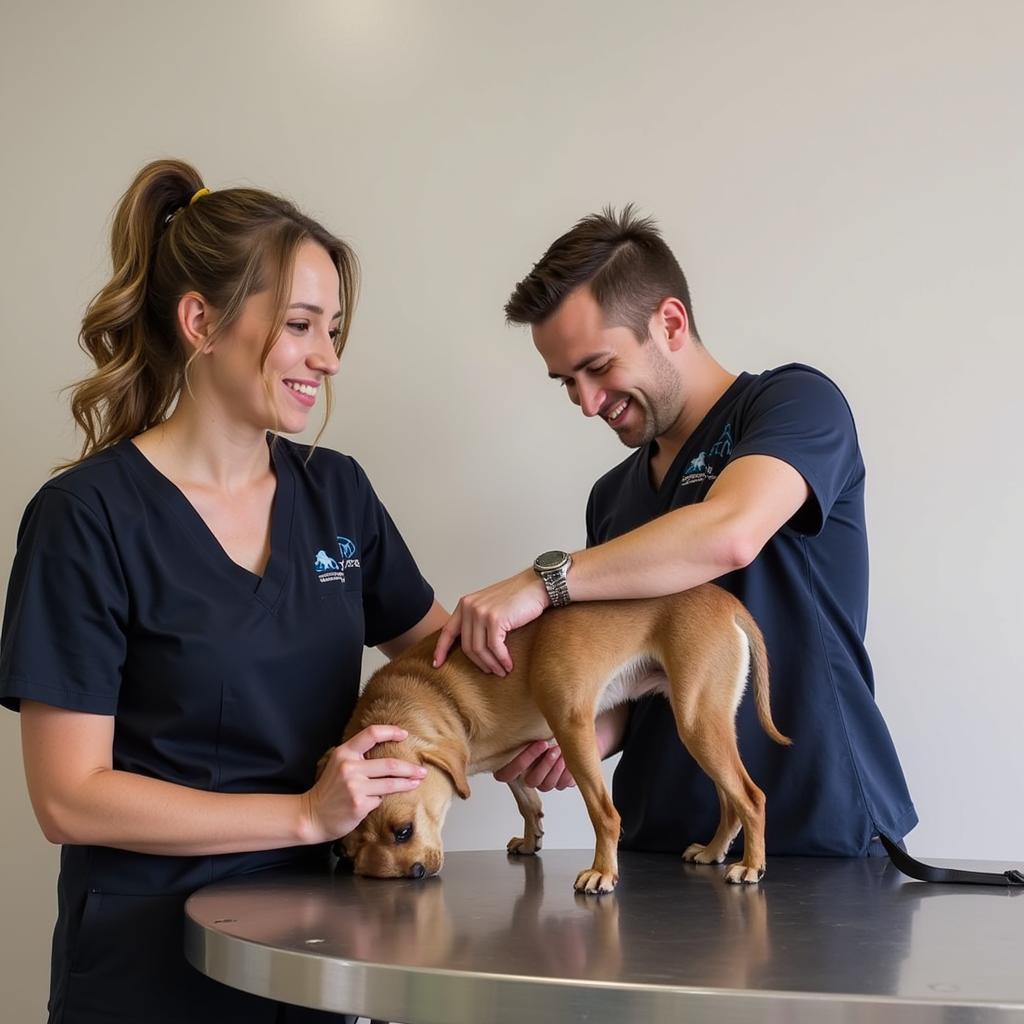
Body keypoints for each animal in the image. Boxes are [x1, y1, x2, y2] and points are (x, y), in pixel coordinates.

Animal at [329, 585, 790, 897]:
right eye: (347, 852)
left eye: (403, 831)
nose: (410, 875)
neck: (433, 692)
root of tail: (725, 601)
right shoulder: (509, 758)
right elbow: (526, 800)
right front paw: (531, 839)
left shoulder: (572, 727)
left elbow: (603, 814)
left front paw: (603, 872)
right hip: (706, 728)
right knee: (731, 800)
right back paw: (714, 851)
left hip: (696, 724)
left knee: (752, 798)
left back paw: (751, 866)